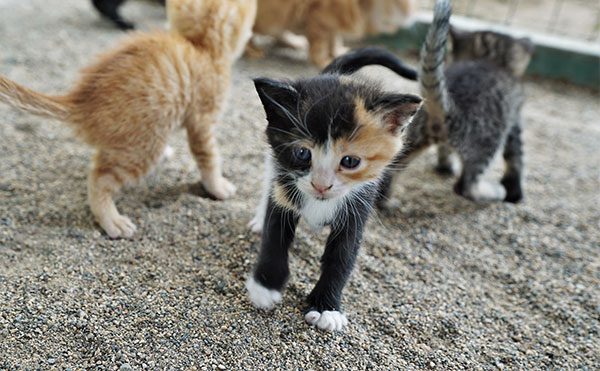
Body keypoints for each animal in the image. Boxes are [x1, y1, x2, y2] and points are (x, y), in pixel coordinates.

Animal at [0, 0, 255, 238]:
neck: (201, 47)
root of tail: (81, 100)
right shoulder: (202, 121)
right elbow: (209, 157)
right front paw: (218, 187)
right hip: (142, 147)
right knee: (99, 177)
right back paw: (113, 221)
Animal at [245, 72, 422, 332]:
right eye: (302, 153)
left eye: (350, 161)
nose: (321, 185)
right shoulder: (283, 190)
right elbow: (274, 237)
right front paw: (265, 286)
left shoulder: (358, 208)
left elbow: (342, 257)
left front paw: (326, 308)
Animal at [247, 0, 412, 67]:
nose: (408, 13)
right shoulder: (318, 16)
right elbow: (320, 44)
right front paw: (323, 61)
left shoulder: (332, 22)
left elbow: (334, 38)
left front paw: (337, 53)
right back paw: (253, 50)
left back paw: (293, 42)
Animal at [328, 0, 536, 205]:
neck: (487, 59)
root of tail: (450, 110)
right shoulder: (514, 117)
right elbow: (516, 157)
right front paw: (515, 192)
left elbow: (445, 150)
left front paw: (445, 166)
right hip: (487, 143)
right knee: (466, 185)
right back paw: (490, 193)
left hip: (406, 140)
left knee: (386, 173)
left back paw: (386, 202)